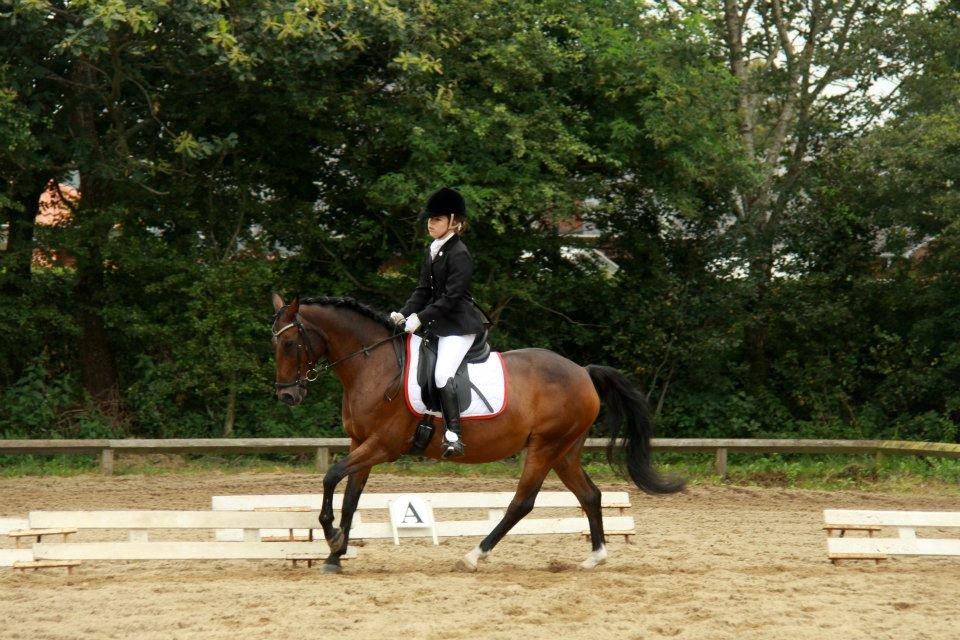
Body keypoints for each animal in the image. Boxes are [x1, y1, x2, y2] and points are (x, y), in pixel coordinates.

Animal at [271, 293, 684, 573]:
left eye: (290, 343)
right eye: (274, 342)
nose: (287, 395)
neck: (373, 364)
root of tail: (583, 372)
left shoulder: (383, 445)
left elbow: (330, 477)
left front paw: (331, 538)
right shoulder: (362, 443)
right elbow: (351, 497)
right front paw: (335, 555)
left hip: (544, 447)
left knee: (523, 502)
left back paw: (473, 555)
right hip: (564, 450)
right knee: (590, 495)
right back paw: (594, 557)